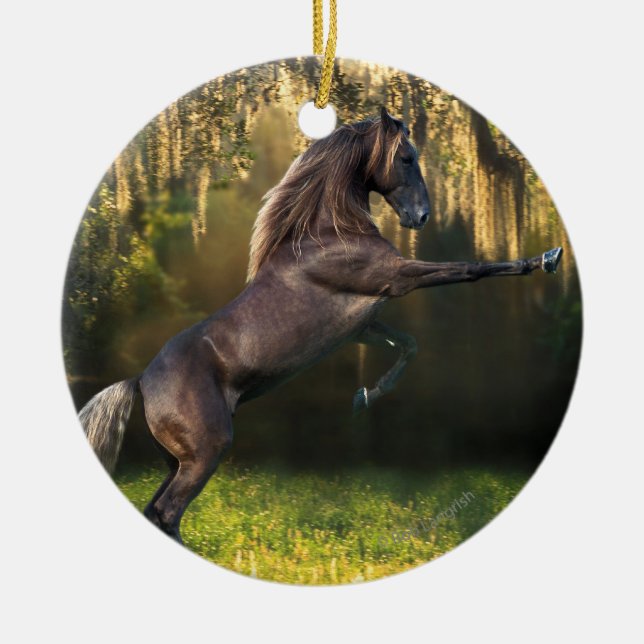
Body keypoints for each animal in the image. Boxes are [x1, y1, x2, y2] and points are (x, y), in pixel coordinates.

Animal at [79, 107, 562, 542]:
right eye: (407, 157)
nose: (421, 217)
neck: (329, 234)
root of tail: (141, 381)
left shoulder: (364, 324)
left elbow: (408, 345)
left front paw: (364, 397)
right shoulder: (398, 278)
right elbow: (470, 268)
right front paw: (546, 258)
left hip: (177, 461)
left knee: (156, 513)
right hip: (203, 455)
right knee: (167, 512)